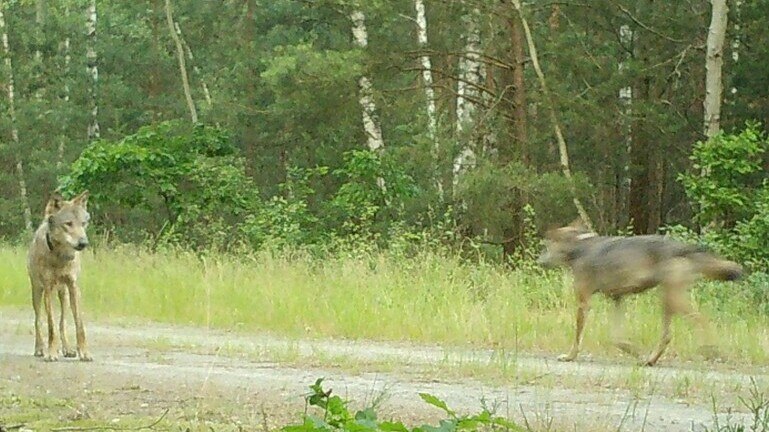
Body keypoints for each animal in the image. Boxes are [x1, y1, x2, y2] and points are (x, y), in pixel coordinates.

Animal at [28, 191, 93, 362]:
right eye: (68, 224)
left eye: (83, 223)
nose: (84, 243)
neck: (60, 257)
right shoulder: (48, 289)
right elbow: (50, 326)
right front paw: (51, 353)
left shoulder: (74, 288)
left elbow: (79, 326)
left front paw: (84, 353)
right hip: (37, 292)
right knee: (38, 321)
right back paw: (40, 349)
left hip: (64, 295)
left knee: (62, 323)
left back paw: (68, 349)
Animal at [537, 220, 742, 366]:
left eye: (546, 246)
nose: (539, 261)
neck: (579, 248)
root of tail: (683, 247)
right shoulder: (617, 299)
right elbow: (616, 338)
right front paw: (636, 352)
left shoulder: (584, 302)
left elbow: (577, 337)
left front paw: (569, 356)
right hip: (667, 299)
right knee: (668, 335)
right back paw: (650, 360)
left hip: (672, 299)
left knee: (702, 319)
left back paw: (712, 350)